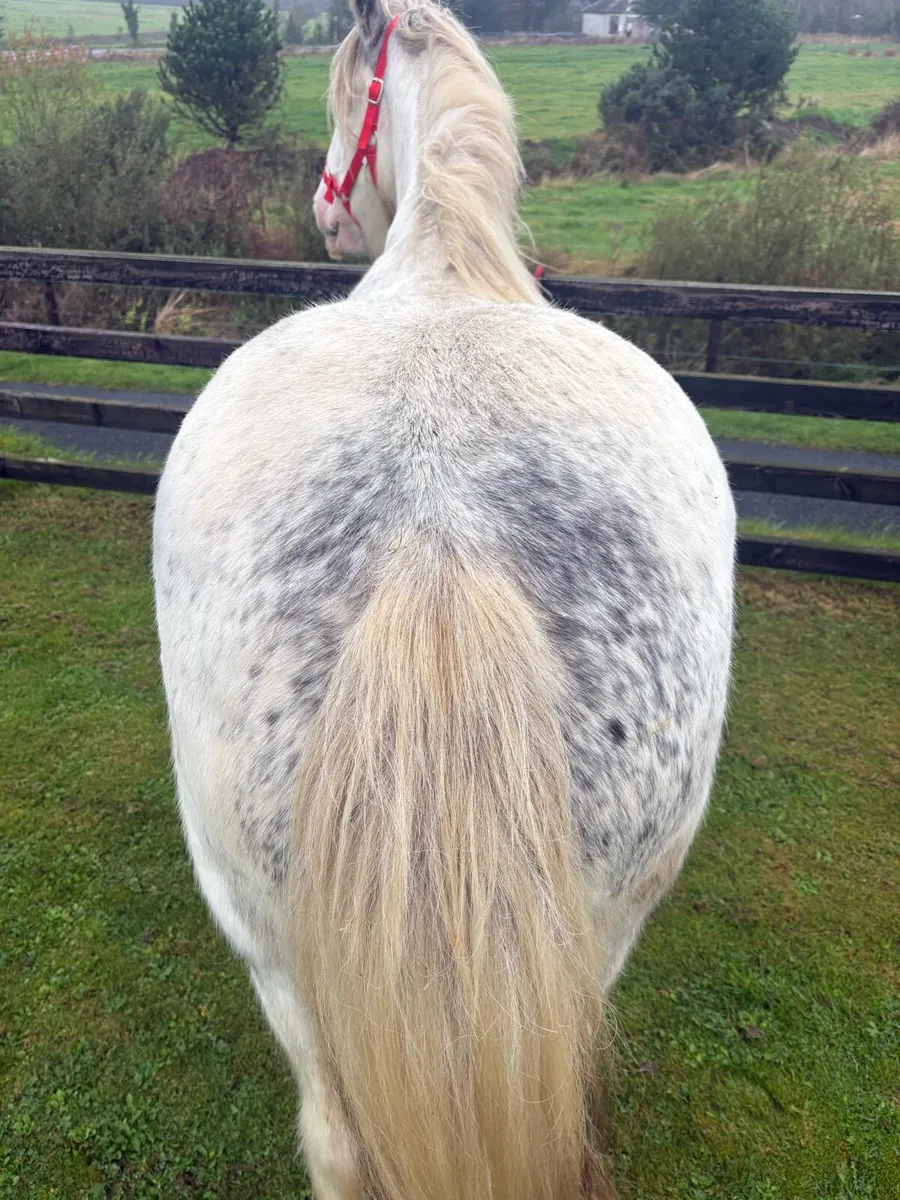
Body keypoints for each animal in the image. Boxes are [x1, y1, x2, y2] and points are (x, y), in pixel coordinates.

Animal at [152, 1, 736, 1196]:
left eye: (339, 96)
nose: (325, 210)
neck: (443, 266)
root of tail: (439, 536)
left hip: (271, 943)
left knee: (337, 1146)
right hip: (601, 925)